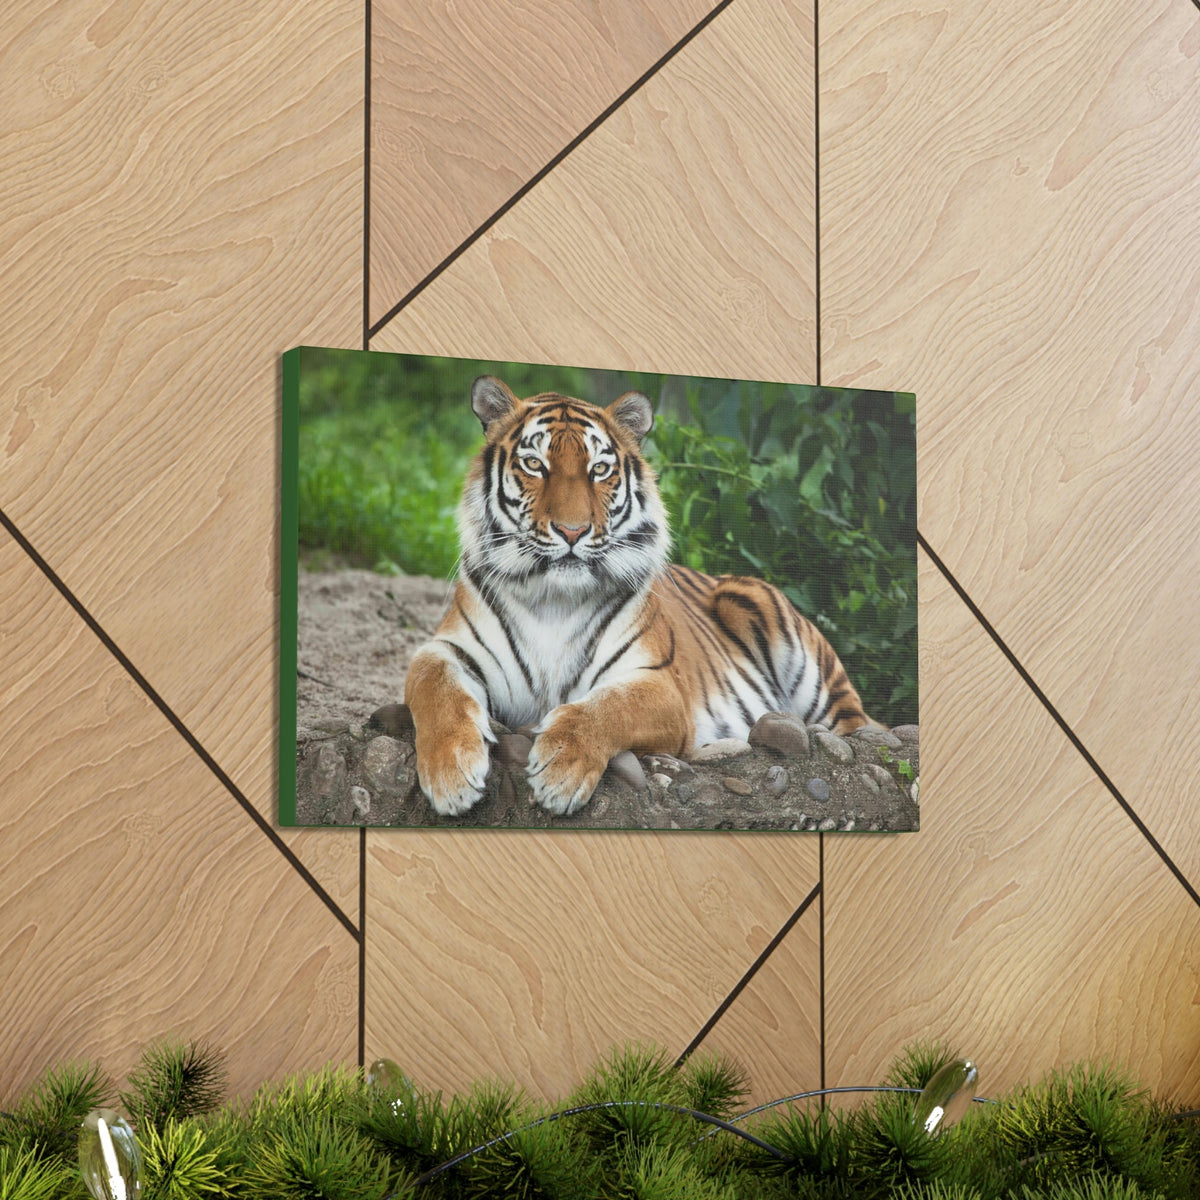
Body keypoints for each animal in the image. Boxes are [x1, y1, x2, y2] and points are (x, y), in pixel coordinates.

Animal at [404, 376, 875, 817]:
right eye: (535, 464)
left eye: (598, 469)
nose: (572, 531)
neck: (554, 599)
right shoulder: (446, 649)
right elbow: (436, 688)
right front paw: (451, 775)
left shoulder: (659, 683)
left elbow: (607, 708)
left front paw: (560, 771)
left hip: (776, 628)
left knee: (858, 726)